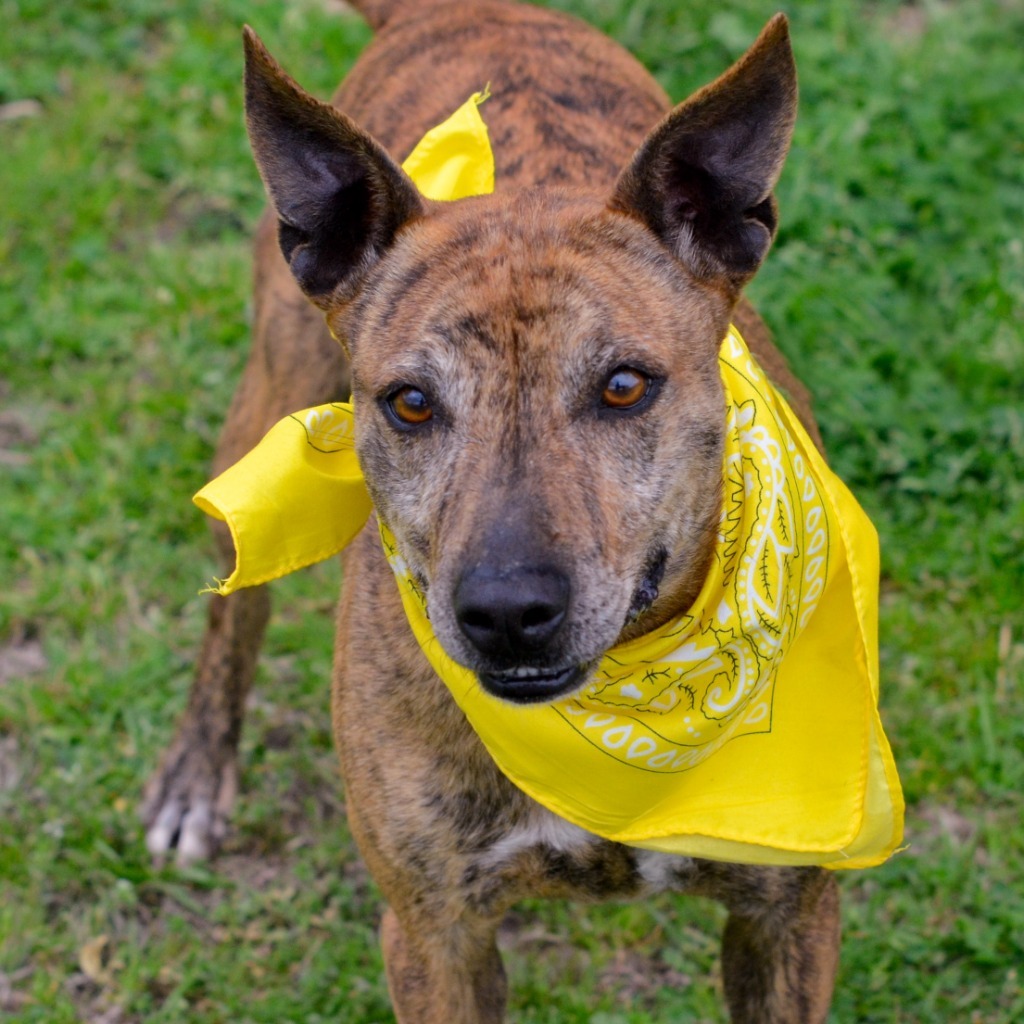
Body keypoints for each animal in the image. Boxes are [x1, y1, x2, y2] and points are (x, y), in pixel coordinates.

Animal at [146, 4, 847, 1019]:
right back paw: (193, 781)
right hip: (263, 406)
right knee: (234, 612)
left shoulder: (787, 920)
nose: (508, 613)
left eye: (624, 386)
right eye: (409, 403)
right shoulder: (434, 935)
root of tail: (453, 12)